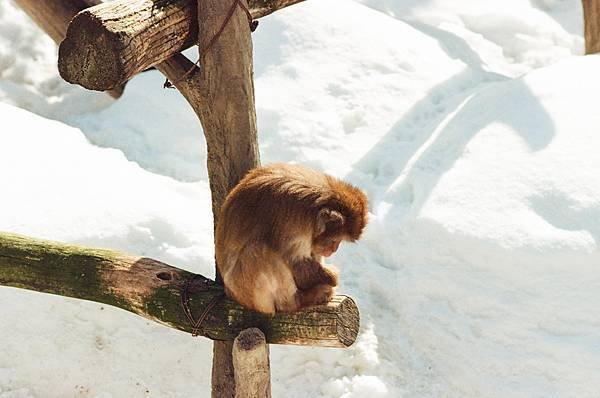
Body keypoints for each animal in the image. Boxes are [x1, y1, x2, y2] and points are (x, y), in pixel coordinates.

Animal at [213, 162, 368, 314]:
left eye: (339, 241)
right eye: (335, 240)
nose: (334, 249)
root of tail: (229, 292)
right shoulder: (292, 222)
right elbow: (297, 263)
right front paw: (333, 275)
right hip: (245, 291)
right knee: (258, 251)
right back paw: (298, 300)